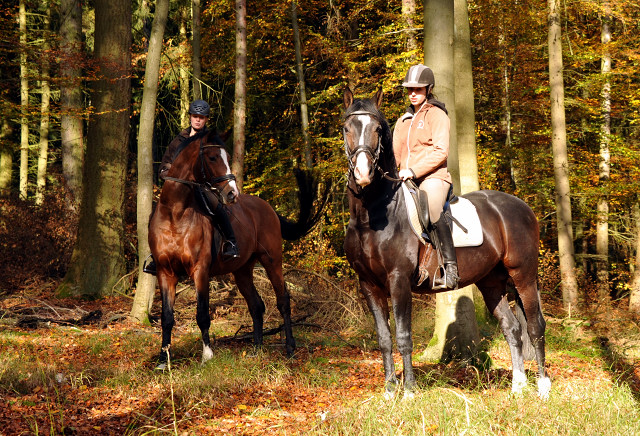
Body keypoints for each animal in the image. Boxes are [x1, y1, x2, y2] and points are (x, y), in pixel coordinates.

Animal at [149, 130, 320, 368]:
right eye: (212, 158)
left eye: (228, 157)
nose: (232, 194)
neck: (175, 214)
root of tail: (268, 207)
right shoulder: (165, 272)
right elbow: (166, 317)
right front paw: (163, 360)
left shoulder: (200, 271)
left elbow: (202, 314)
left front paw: (207, 355)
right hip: (242, 270)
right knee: (256, 305)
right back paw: (257, 349)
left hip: (272, 260)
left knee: (283, 300)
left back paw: (290, 348)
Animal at [340, 87, 552, 398]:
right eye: (347, 128)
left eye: (377, 129)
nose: (363, 174)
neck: (373, 215)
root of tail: (522, 206)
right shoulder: (369, 285)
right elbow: (384, 339)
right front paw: (390, 390)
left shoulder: (398, 280)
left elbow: (403, 336)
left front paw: (409, 390)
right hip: (491, 282)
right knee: (512, 328)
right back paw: (518, 386)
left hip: (523, 274)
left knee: (535, 326)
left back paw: (543, 387)